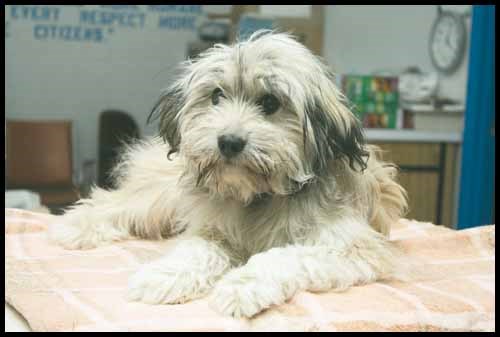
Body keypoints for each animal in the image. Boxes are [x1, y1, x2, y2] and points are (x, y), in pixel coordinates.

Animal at [49, 29, 410, 318]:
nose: (229, 142)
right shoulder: (210, 229)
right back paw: (76, 226)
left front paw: (241, 286)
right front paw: (165, 275)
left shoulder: (353, 247)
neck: (260, 196)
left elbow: (282, 258)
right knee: (111, 201)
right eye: (216, 95)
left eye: (270, 102)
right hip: (161, 197)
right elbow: (196, 251)